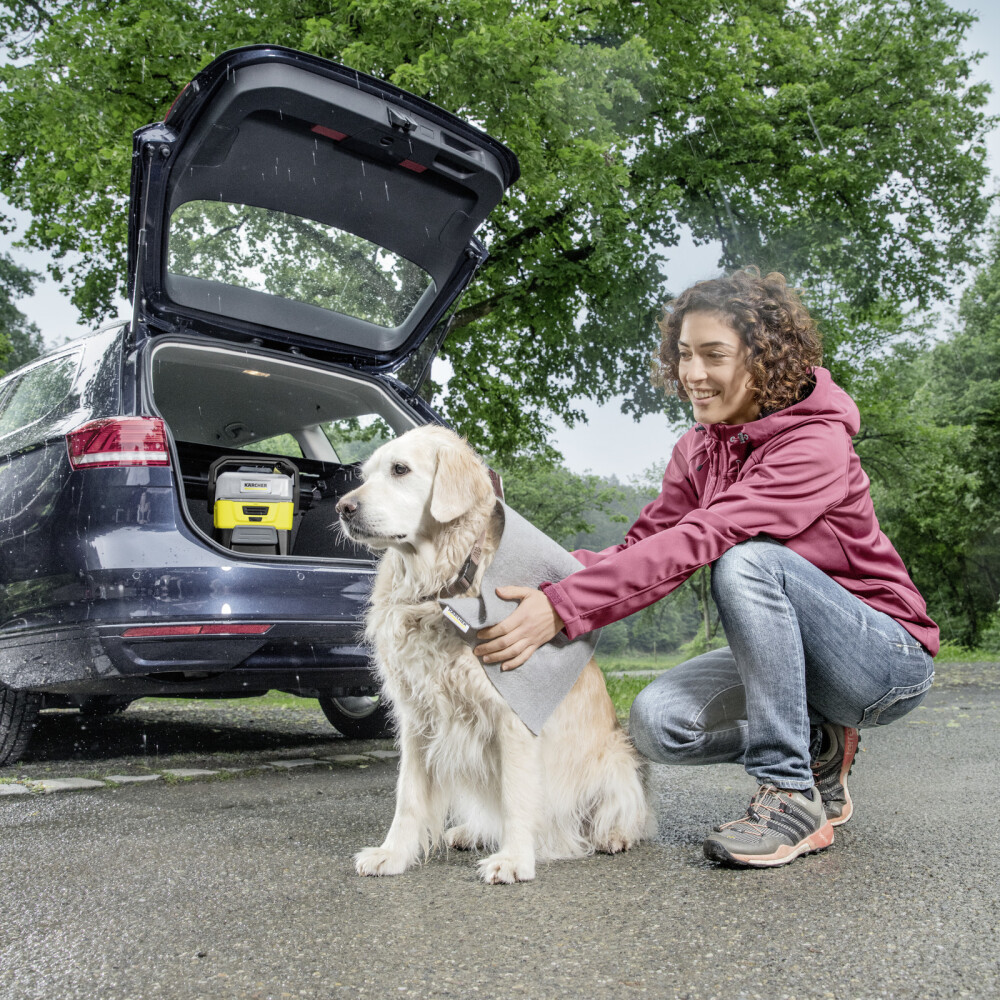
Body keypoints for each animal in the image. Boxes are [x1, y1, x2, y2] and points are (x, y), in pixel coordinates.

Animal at [332, 422, 652, 884]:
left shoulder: (512, 717)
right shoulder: (417, 717)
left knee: (619, 811)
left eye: (400, 469)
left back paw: (611, 836)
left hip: (616, 760)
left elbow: (516, 794)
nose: (343, 508)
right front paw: (392, 853)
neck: (439, 588)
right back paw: (468, 832)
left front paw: (515, 859)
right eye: (365, 474)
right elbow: (408, 795)